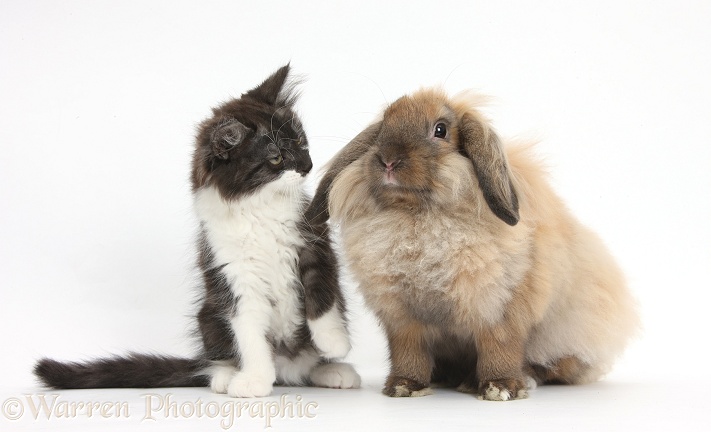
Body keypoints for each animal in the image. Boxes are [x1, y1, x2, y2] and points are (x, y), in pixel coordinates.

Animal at [32, 64, 362, 398]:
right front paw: (254, 380)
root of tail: (288, 369)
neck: (259, 206)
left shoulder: (314, 245)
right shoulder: (232, 273)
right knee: (215, 359)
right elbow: (249, 333)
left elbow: (322, 298)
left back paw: (332, 370)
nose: (308, 166)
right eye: (277, 158)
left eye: (301, 143)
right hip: (208, 315)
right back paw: (226, 376)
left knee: (308, 363)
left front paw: (335, 342)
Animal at [308, 88, 644, 402]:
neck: (418, 216)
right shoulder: (403, 320)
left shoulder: (500, 310)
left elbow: (500, 348)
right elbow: (409, 354)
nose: (388, 160)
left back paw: (503, 380)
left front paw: (501, 388)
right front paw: (404, 386)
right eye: (384, 127)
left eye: (440, 130)